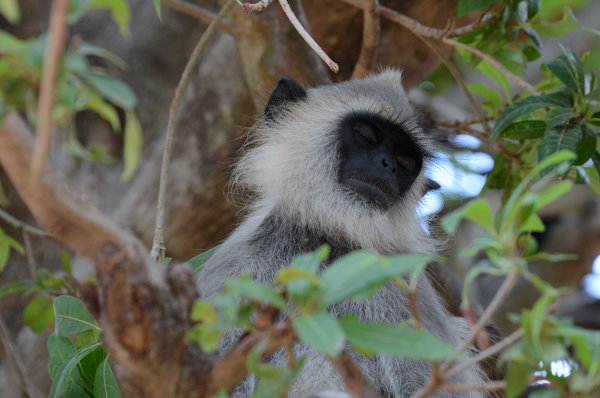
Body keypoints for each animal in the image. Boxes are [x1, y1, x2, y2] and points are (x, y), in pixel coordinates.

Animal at [198, 70, 488, 396]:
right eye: (365, 136)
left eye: (405, 163)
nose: (387, 165)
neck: (323, 245)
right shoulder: (234, 272)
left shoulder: (396, 278)